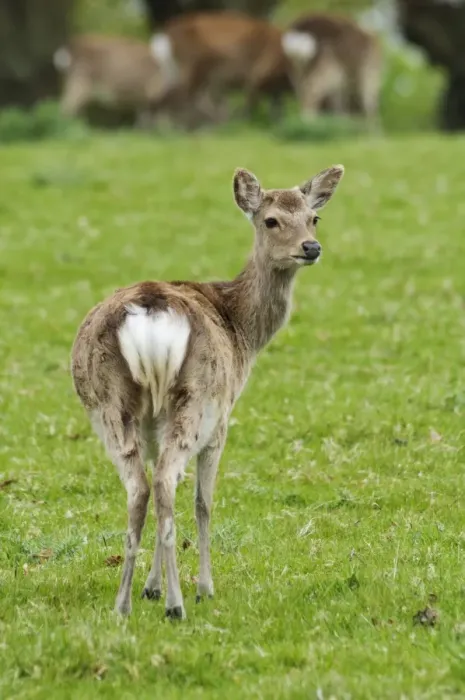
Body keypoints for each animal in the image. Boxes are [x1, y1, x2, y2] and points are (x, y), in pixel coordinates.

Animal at [71, 164, 344, 618]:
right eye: (271, 220)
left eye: (314, 217)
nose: (311, 247)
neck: (242, 332)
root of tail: (150, 311)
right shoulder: (223, 418)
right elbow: (202, 502)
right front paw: (203, 587)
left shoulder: (153, 426)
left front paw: (150, 587)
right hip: (197, 399)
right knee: (165, 481)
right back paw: (178, 603)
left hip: (111, 406)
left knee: (141, 488)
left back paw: (123, 604)